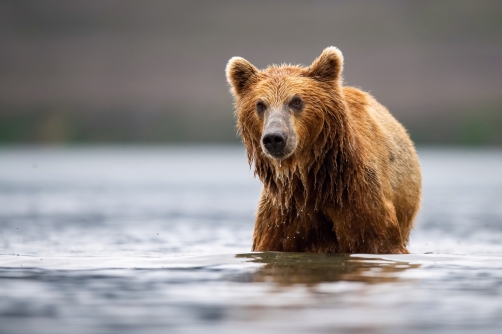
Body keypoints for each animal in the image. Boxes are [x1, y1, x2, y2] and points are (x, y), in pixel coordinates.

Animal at [226, 47, 422, 253]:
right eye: (260, 104)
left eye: (296, 101)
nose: (274, 137)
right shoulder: (283, 214)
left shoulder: (360, 196)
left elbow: (380, 241)